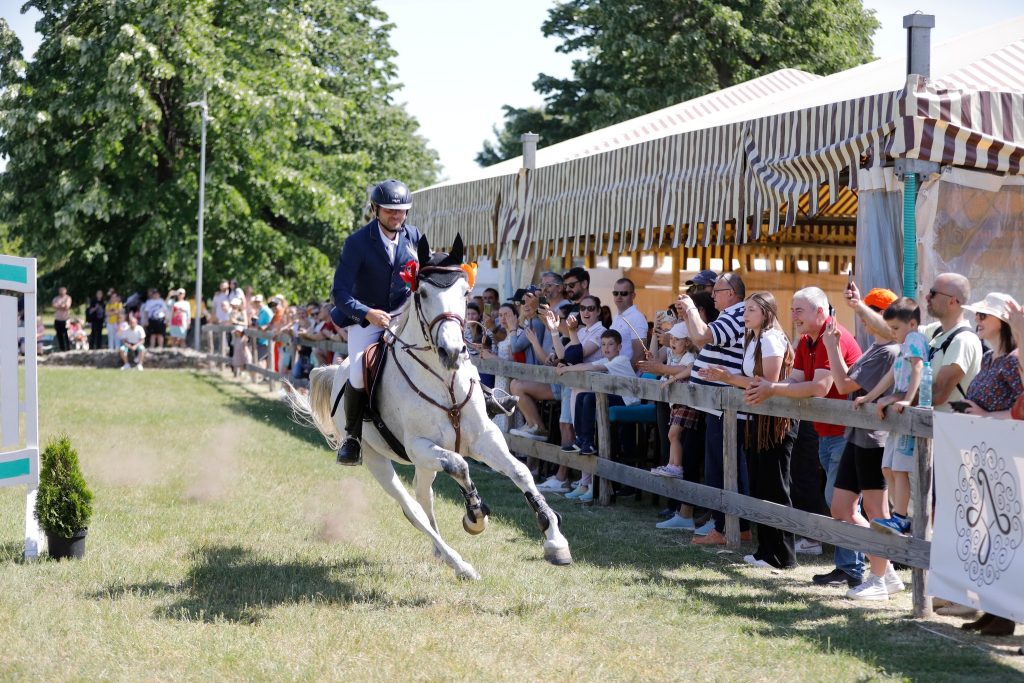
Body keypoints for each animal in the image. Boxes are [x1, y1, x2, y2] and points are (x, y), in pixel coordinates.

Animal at [284, 233, 573, 577]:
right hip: (376, 458)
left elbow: (521, 472)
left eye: (465, 292)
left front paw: (555, 540)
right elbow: (460, 466)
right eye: (422, 292)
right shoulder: (420, 446)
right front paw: (475, 515)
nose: (453, 351)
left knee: (424, 497)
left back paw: (441, 552)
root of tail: (336, 369)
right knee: (412, 508)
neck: (444, 382)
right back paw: (459, 563)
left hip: (423, 462)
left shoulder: (484, 438)